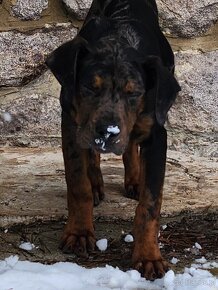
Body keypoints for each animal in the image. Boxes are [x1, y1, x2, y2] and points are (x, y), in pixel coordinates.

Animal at [46, 0, 181, 280]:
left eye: (134, 93)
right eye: (90, 86)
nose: (107, 132)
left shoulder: (157, 135)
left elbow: (150, 204)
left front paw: (148, 256)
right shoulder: (71, 121)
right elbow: (78, 183)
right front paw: (79, 233)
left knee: (130, 145)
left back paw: (134, 180)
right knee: (92, 157)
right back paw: (97, 182)